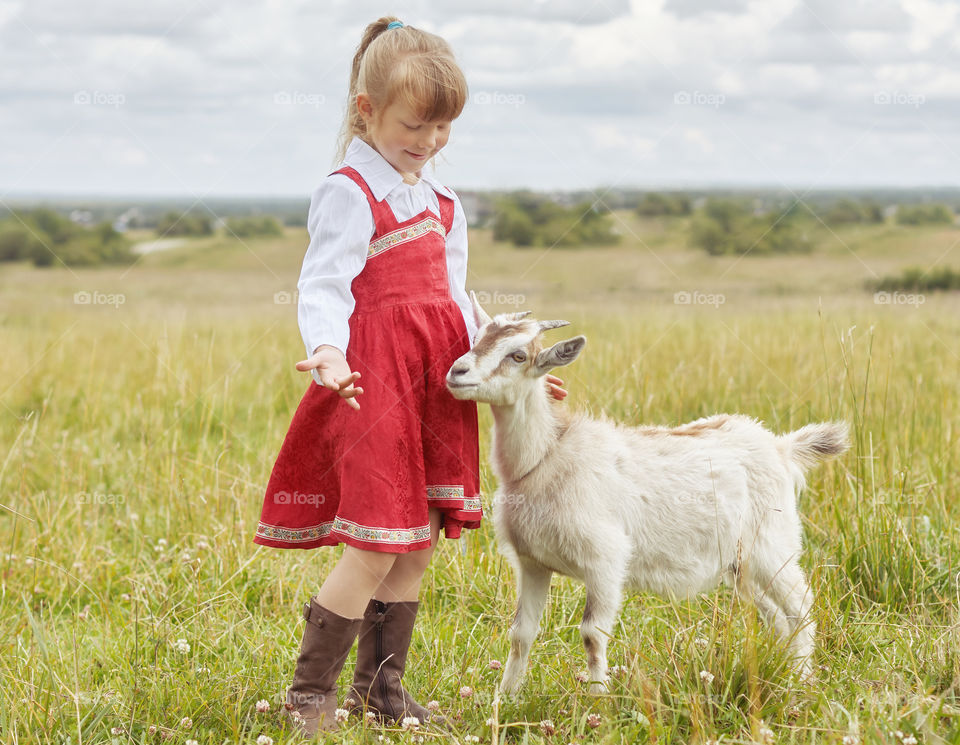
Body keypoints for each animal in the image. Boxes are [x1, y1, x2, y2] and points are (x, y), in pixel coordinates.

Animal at [446, 294, 844, 696]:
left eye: (518, 355)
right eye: (476, 338)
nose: (457, 372)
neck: (545, 456)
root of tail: (781, 447)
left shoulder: (605, 561)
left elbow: (592, 635)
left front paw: (598, 700)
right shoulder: (533, 563)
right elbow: (520, 634)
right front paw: (505, 698)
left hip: (771, 546)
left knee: (800, 606)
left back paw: (802, 683)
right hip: (739, 564)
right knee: (776, 616)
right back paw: (782, 675)